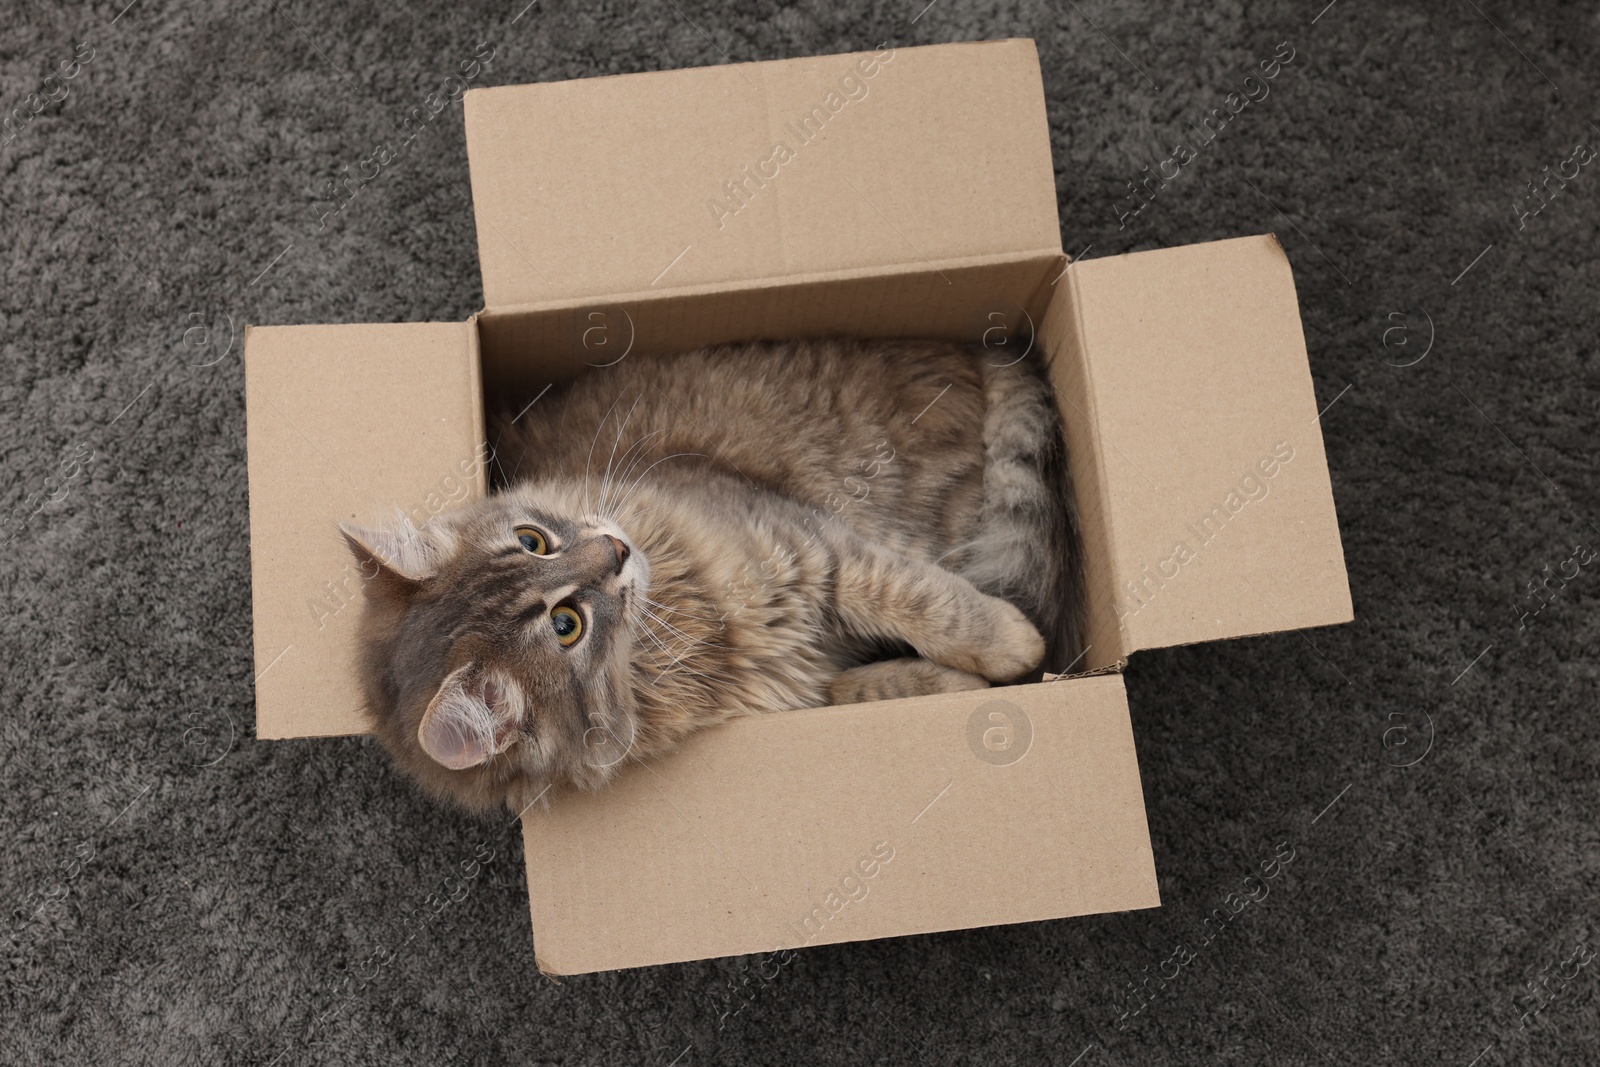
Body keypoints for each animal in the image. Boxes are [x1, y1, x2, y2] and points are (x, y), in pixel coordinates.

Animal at [342, 337, 1081, 812]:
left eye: (534, 540)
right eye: (566, 625)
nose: (614, 550)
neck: (686, 618)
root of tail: (972, 349)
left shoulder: (824, 550)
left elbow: (936, 606)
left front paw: (1013, 647)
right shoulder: (807, 684)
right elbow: (887, 675)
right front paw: (966, 682)